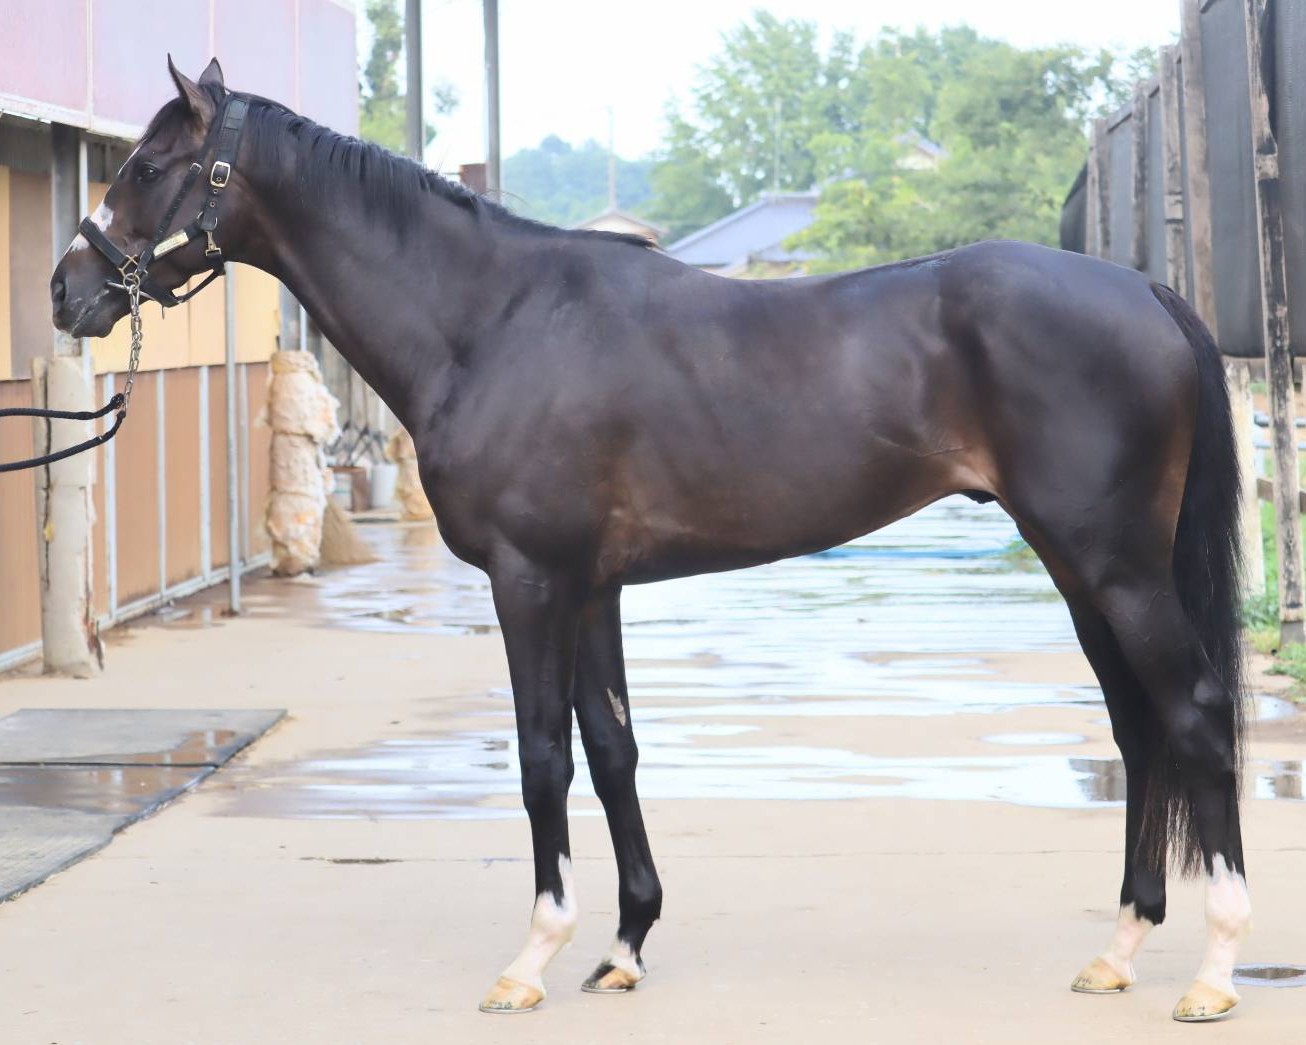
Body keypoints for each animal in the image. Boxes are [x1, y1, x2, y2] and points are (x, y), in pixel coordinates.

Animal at [51, 59, 1252, 1024]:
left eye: (149, 165)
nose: (68, 290)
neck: (492, 320)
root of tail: (1146, 289)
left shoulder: (531, 584)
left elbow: (542, 756)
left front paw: (531, 958)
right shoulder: (594, 589)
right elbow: (614, 748)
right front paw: (624, 945)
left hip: (1116, 566)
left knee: (1191, 714)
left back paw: (1213, 971)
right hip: (1079, 567)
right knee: (1138, 726)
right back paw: (1119, 948)